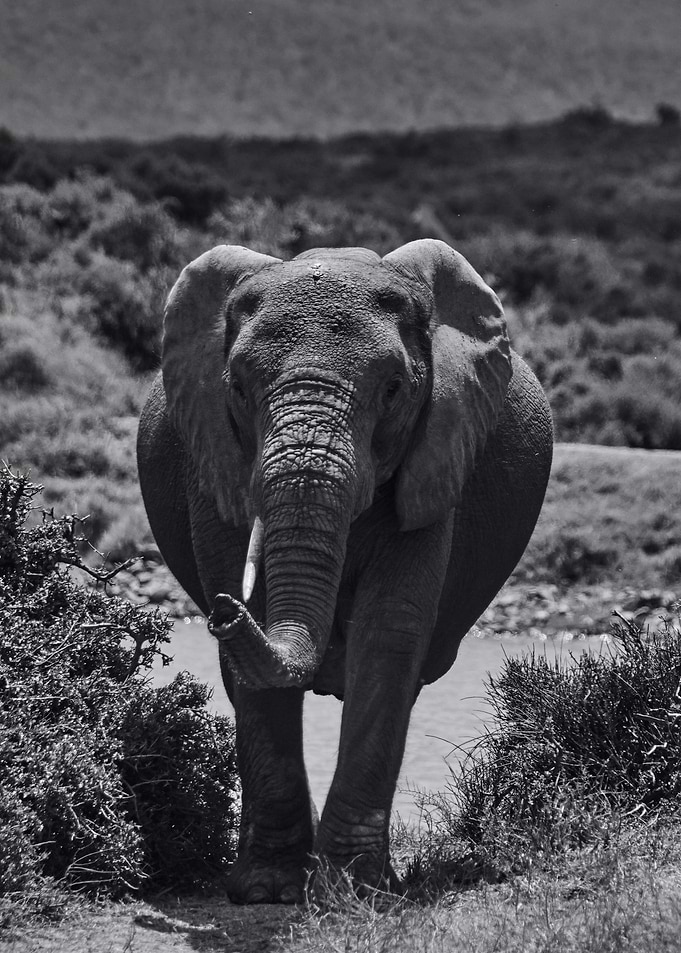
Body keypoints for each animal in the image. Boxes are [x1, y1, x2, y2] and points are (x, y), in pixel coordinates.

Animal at [137, 238, 553, 903]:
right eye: (240, 389)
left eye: (393, 390)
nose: (224, 611)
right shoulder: (212, 458)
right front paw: (268, 891)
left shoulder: (436, 454)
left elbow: (388, 635)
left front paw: (352, 893)